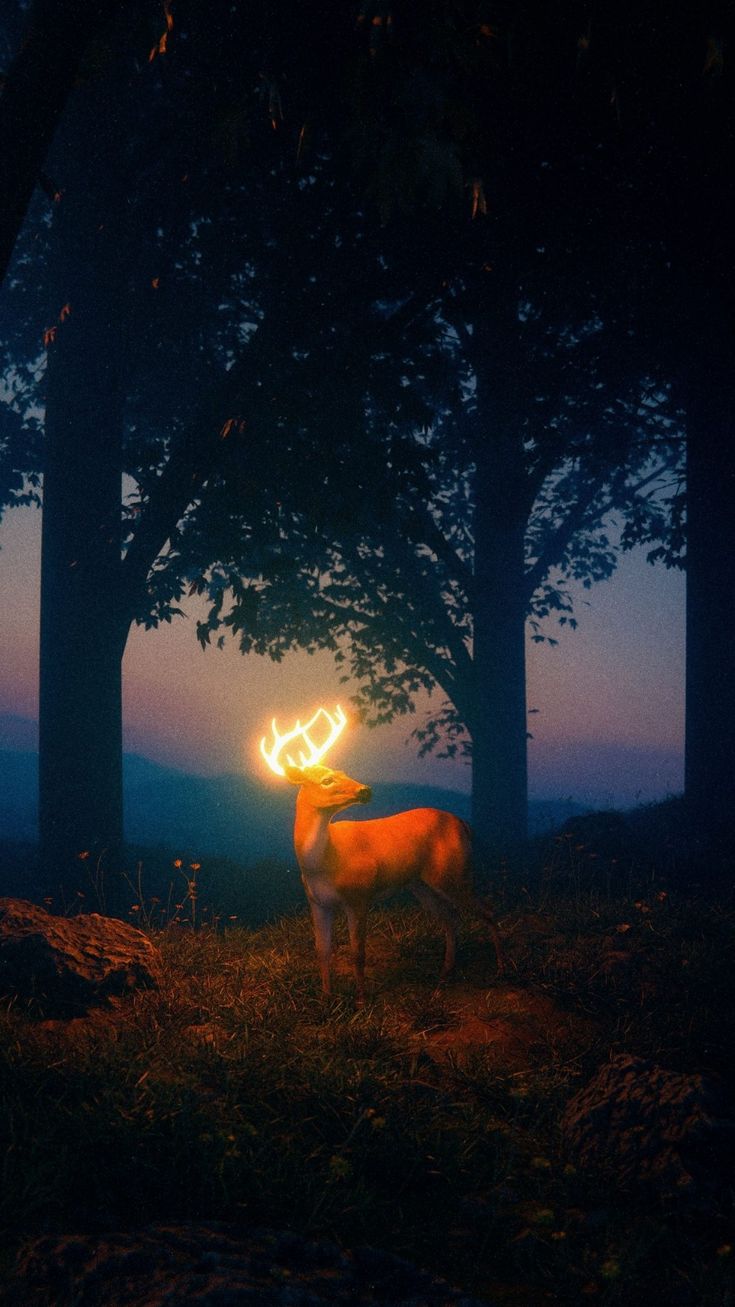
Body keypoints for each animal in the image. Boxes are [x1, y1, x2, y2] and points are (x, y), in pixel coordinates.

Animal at [260, 705, 504, 1002]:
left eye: (344, 772)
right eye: (327, 780)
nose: (365, 790)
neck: (324, 861)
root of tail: (464, 824)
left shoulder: (359, 895)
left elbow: (358, 953)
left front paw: (362, 1000)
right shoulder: (317, 901)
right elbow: (322, 951)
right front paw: (326, 999)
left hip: (454, 871)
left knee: (487, 909)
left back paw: (502, 970)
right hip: (421, 884)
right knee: (451, 918)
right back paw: (444, 974)